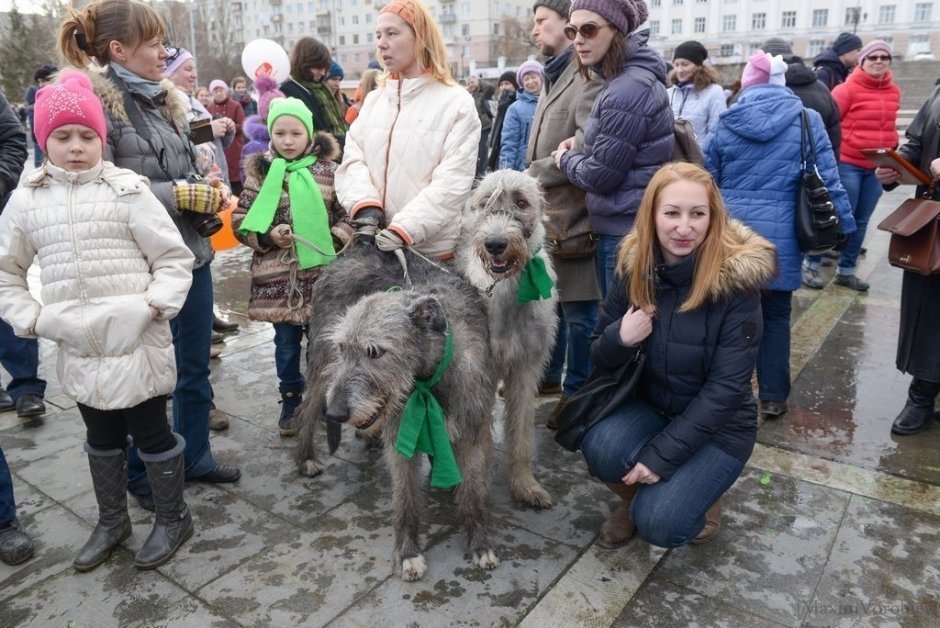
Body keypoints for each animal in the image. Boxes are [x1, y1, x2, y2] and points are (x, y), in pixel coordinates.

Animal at [294, 245, 500, 580]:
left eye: (374, 351)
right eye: (343, 348)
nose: (336, 413)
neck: (427, 376)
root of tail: (350, 251)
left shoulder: (471, 426)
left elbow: (473, 490)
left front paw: (479, 542)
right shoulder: (402, 432)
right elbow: (405, 498)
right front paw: (408, 553)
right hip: (323, 367)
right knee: (306, 407)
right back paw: (305, 458)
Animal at [460, 168, 560, 510]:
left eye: (521, 202)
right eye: (483, 203)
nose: (495, 244)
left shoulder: (527, 367)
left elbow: (522, 431)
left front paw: (524, 484)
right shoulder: (481, 370)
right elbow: (480, 437)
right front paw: (477, 485)